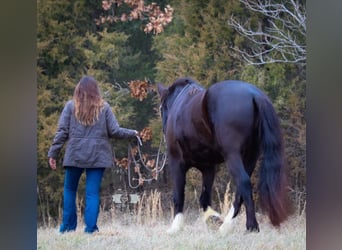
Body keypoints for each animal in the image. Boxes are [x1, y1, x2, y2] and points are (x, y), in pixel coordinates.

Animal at [157, 77, 288, 233]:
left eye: (161, 108)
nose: (163, 130)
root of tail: (254, 95)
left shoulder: (176, 162)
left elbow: (178, 195)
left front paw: (176, 227)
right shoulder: (208, 167)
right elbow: (205, 197)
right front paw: (213, 218)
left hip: (232, 155)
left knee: (243, 182)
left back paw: (251, 226)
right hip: (251, 156)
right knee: (240, 190)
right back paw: (226, 225)